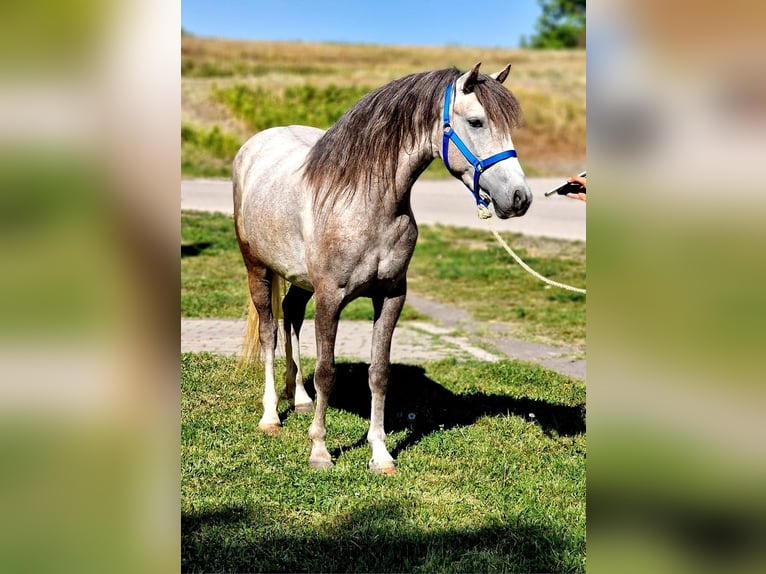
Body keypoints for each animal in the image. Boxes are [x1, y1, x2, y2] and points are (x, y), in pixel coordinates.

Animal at [233, 62, 532, 474]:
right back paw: (271, 417)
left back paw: (300, 398)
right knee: (269, 333)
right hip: (257, 268)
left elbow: (379, 373)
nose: (520, 198)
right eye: (476, 121)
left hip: (299, 279)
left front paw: (380, 454)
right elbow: (327, 372)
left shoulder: (390, 296)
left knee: (291, 314)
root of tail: (253, 146)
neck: (365, 201)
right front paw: (320, 450)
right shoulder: (330, 298)